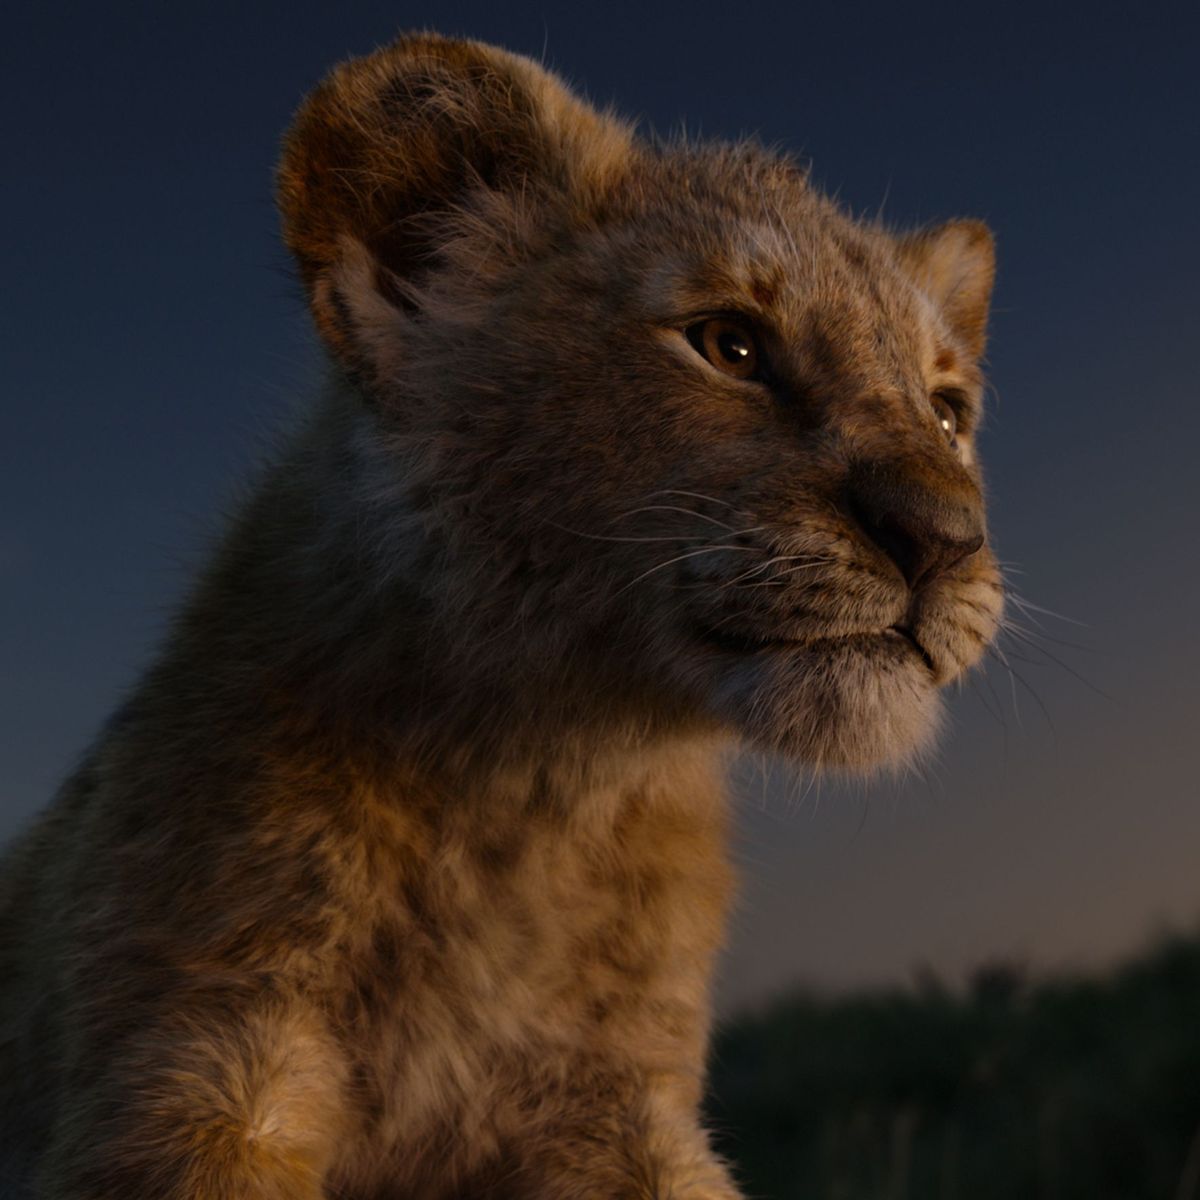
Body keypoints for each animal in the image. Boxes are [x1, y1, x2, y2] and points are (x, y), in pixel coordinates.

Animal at [0, 32, 1002, 1199]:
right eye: (731, 345)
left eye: (949, 410)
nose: (945, 534)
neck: (534, 792)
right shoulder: (189, 1057)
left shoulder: (616, 1101)